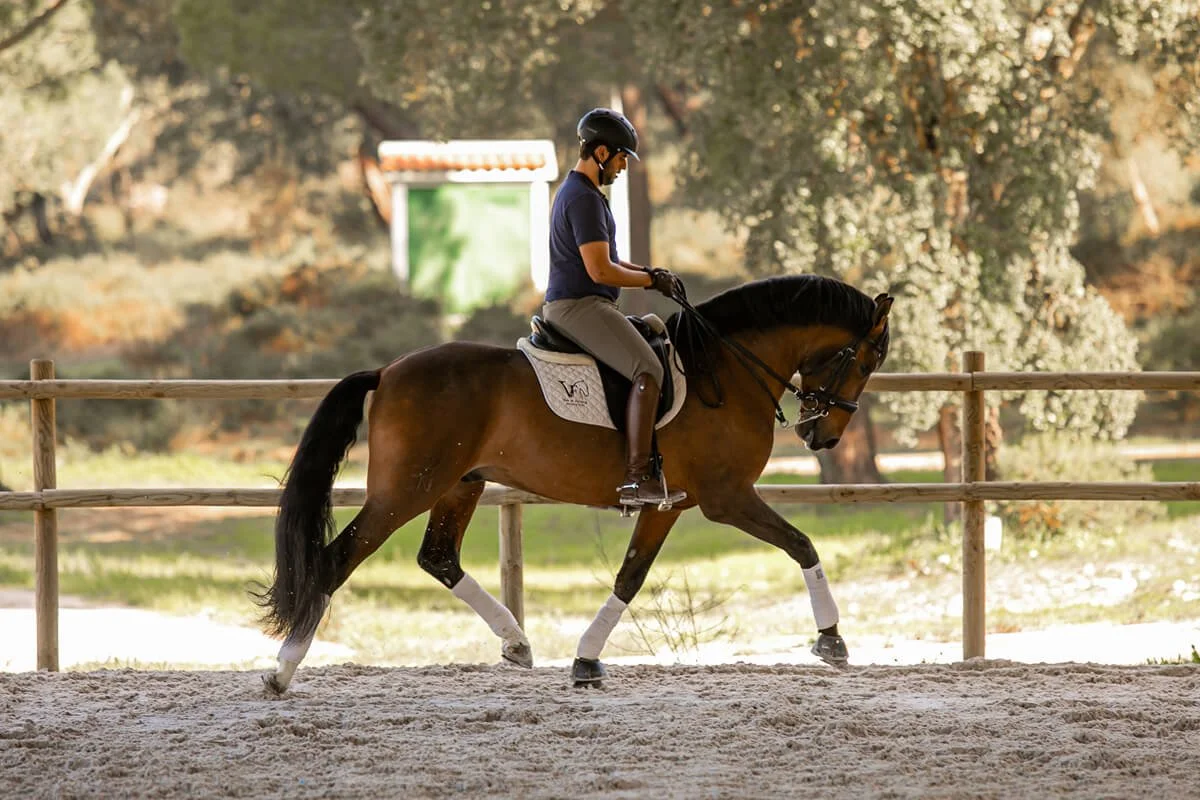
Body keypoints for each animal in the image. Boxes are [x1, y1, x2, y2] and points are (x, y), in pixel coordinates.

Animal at [257, 274, 893, 692]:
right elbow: (801, 544)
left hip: (460, 484)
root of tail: (388, 371)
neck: (728, 369)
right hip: (404, 492)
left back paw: (516, 642)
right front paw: (832, 639)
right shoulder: (725, 498)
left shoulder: (669, 504)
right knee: (337, 560)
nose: (822, 436)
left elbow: (630, 577)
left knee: (437, 558)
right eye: (863, 362)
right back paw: (282, 670)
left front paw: (586, 660)